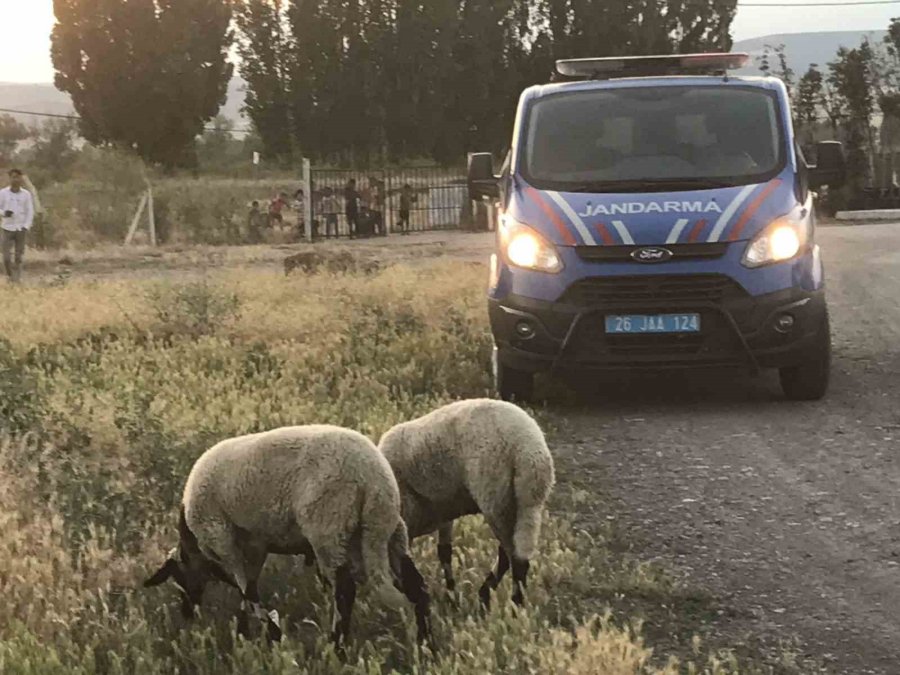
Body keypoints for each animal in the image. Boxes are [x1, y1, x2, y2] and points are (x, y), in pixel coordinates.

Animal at [144, 426, 432, 648]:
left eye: (178, 577)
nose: (187, 612)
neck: (194, 545)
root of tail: (371, 477)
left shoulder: (222, 539)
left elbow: (245, 588)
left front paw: (270, 633)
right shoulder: (256, 545)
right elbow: (248, 586)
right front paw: (248, 632)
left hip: (329, 528)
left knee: (345, 591)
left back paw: (337, 646)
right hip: (389, 529)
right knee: (416, 584)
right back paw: (425, 641)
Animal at [374, 398, 556, 608]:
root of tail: (529, 451)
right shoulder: (443, 509)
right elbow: (444, 551)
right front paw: (451, 594)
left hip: (495, 500)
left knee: (512, 557)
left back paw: (508, 602)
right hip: (526, 506)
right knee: (515, 554)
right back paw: (493, 596)